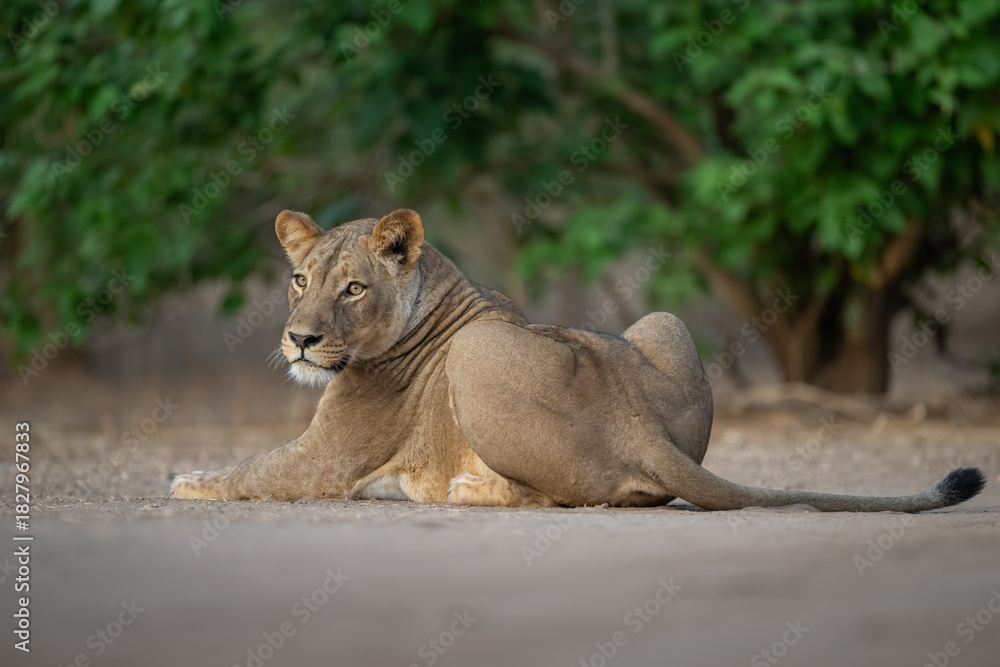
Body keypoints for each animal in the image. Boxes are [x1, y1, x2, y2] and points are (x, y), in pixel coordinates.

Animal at [171, 208, 986, 512]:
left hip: (477, 358)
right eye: (298, 280)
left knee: (550, 497)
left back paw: (463, 489)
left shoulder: (330, 455)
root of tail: (637, 427)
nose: (299, 340)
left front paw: (187, 479)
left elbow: (251, 470)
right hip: (663, 321)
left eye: (351, 288)